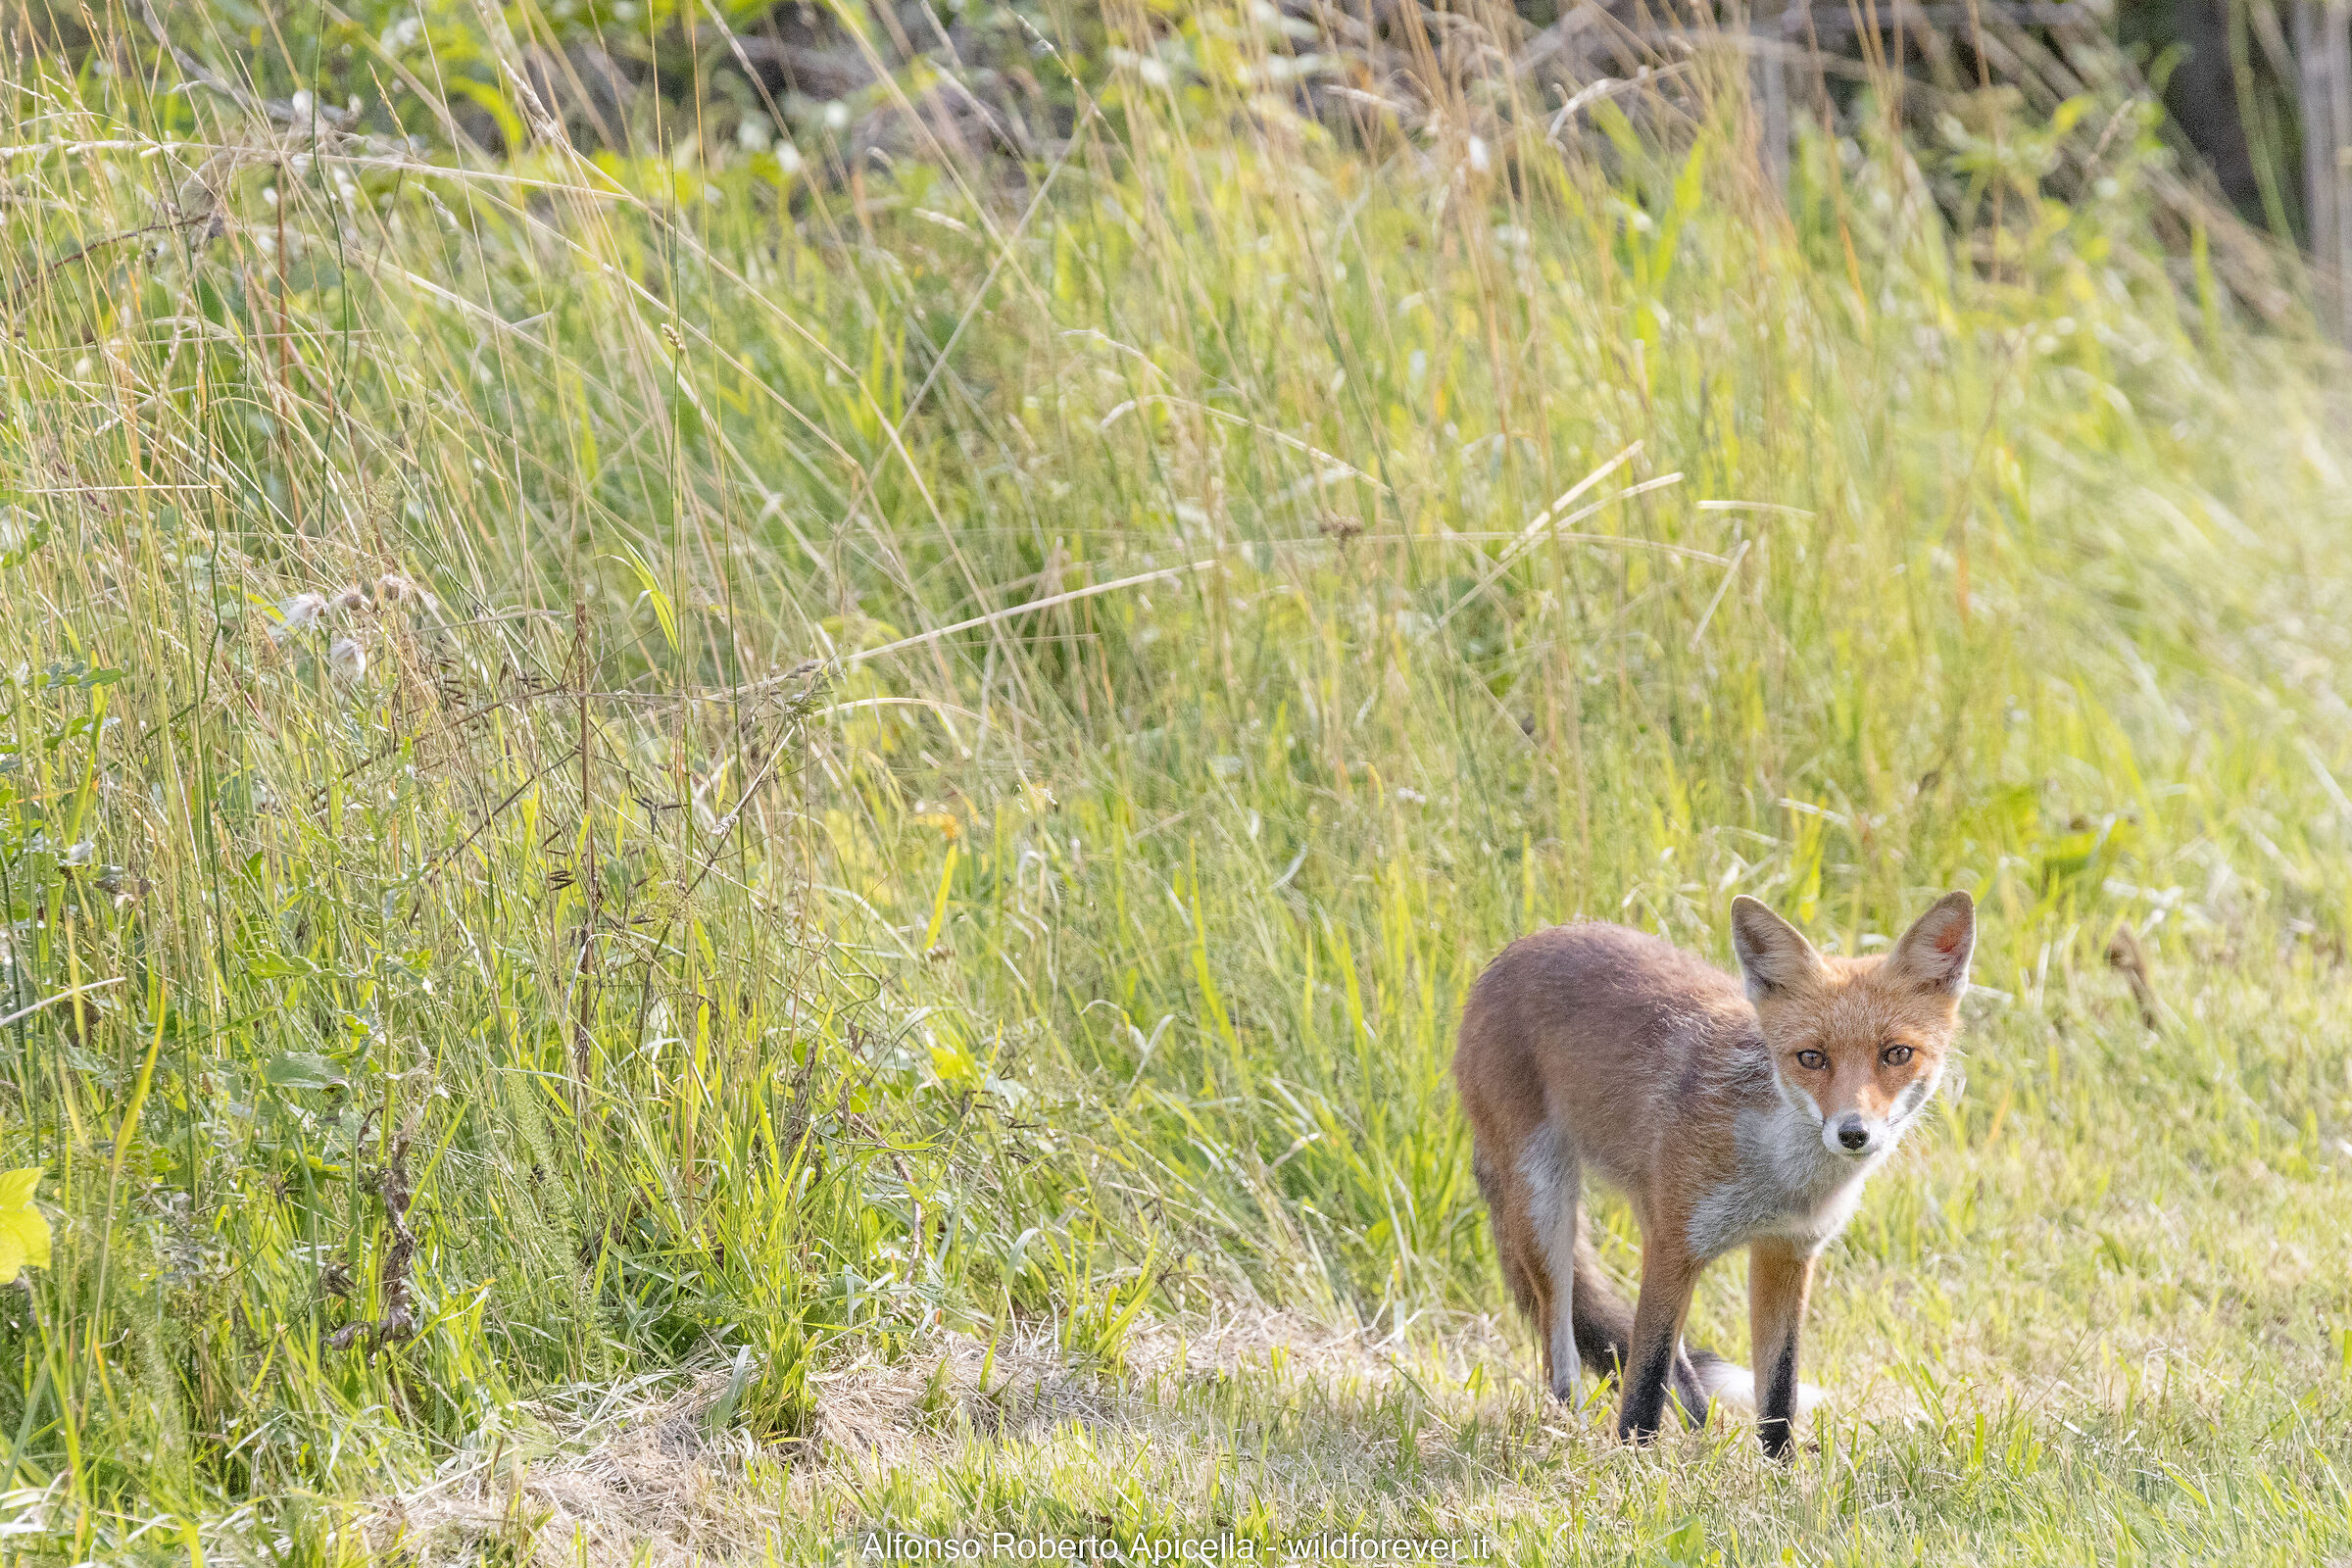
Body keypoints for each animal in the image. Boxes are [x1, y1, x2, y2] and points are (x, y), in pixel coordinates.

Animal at [1453, 890, 1975, 1458]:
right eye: (1811, 1058)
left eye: (1896, 1053)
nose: (1853, 1133)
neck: (1777, 1179)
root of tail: (1510, 952)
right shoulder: (1676, 1245)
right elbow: (1644, 1378)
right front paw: (1634, 1462)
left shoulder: (1785, 1252)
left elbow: (1779, 1389)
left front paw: (1780, 1470)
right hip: (1545, 1209)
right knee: (1562, 1348)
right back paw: (1568, 1428)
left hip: (1641, 1209)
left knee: (1668, 1356)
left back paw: (1703, 1436)